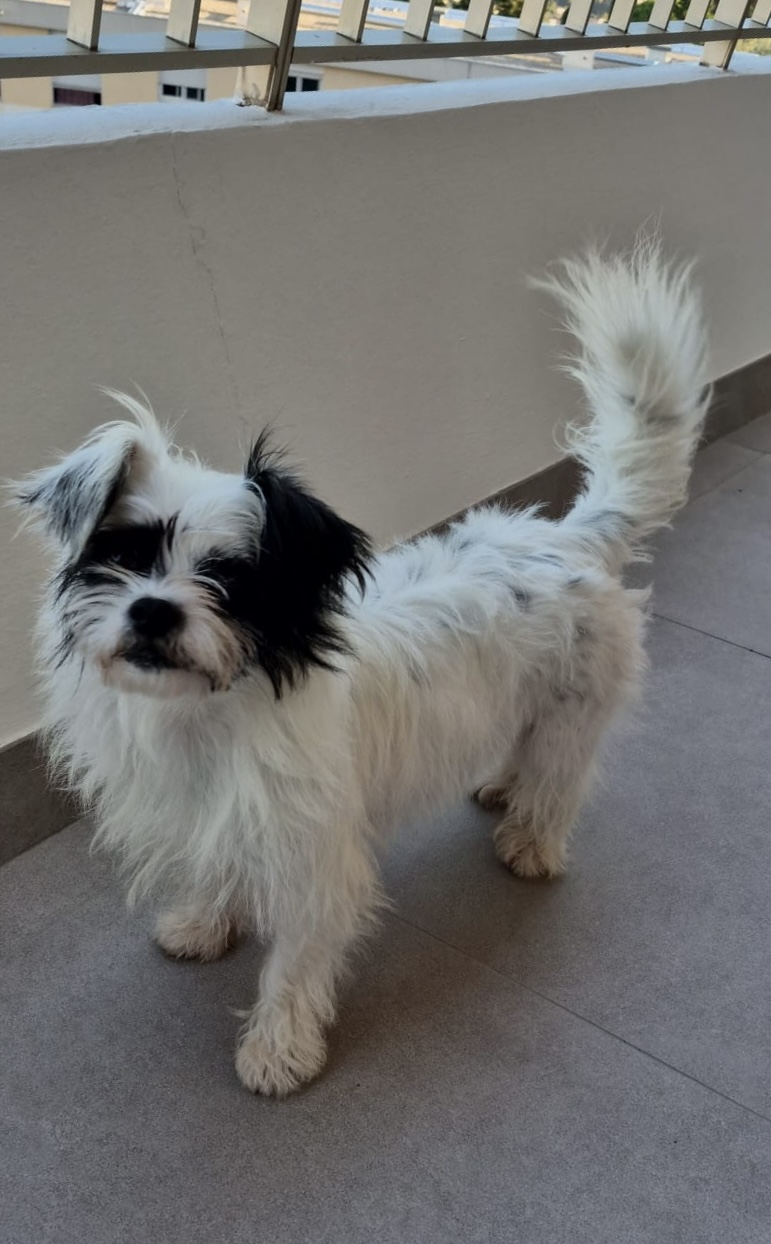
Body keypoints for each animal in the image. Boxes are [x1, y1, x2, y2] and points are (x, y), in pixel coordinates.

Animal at [14, 241, 709, 1096]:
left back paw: (530, 842)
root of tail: (568, 536)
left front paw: (278, 1049)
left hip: (572, 714)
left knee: (560, 778)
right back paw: (498, 784)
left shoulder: (314, 855)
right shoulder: (220, 815)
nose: (151, 612)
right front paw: (205, 924)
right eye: (125, 554)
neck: (215, 707)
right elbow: (217, 872)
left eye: (229, 578)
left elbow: (293, 961)